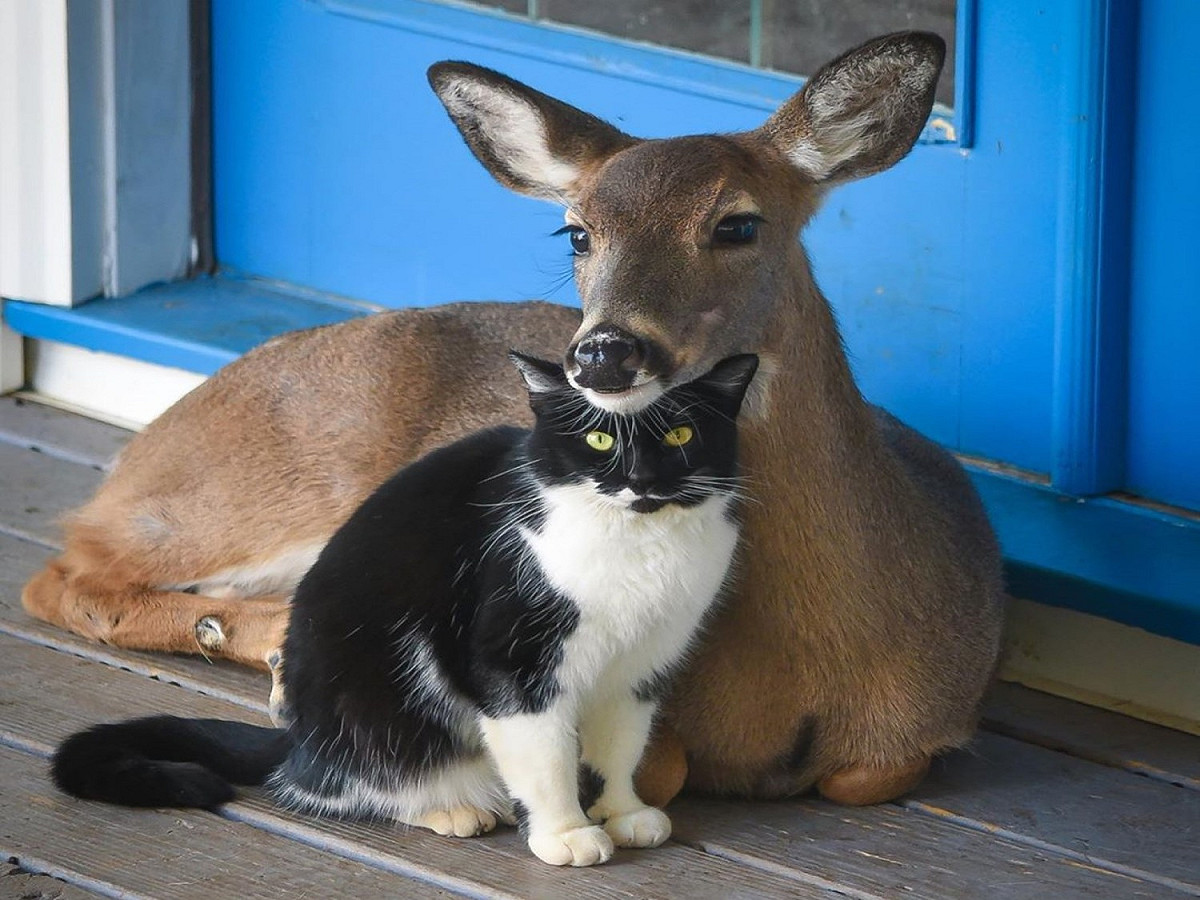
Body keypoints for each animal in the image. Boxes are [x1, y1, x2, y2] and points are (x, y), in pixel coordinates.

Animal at [22, 32, 1004, 809]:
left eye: (738, 224)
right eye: (577, 232)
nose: (603, 353)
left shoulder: (934, 716)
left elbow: (865, 773)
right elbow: (660, 767)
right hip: (257, 486)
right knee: (63, 574)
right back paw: (261, 649)